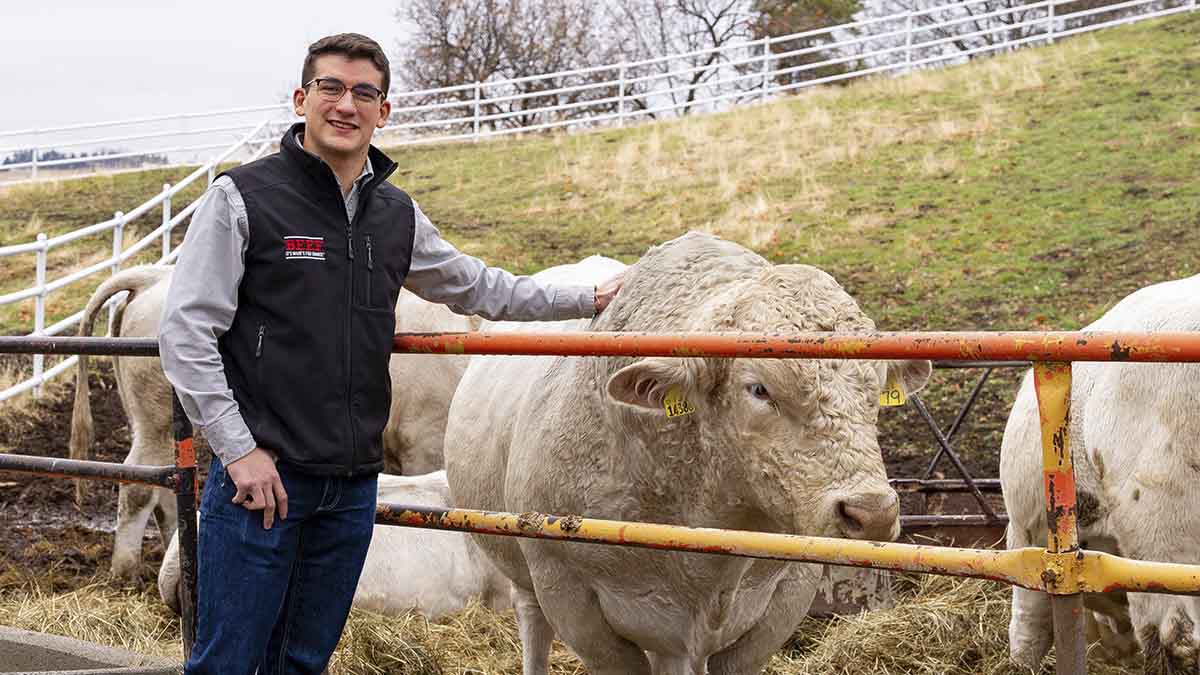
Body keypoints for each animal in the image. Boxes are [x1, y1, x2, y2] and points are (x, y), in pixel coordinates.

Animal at [446, 233, 931, 672]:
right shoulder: (567, 592)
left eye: (875, 387)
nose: (872, 513)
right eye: (759, 389)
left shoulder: (788, 592)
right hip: (527, 577)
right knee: (533, 624)